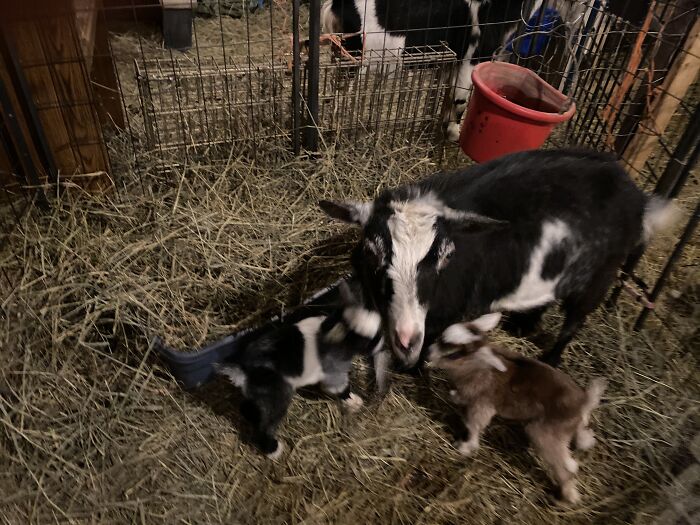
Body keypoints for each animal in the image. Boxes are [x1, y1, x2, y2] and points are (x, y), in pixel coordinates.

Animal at [215, 282, 384, 459]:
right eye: (370, 340)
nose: (383, 344)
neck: (330, 327)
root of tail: (244, 370)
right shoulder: (334, 373)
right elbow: (342, 389)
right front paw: (353, 401)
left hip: (257, 395)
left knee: (248, 408)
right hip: (276, 398)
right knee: (264, 425)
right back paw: (273, 450)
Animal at [428, 312, 606, 504]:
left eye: (453, 355)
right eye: (440, 337)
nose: (428, 353)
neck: (475, 366)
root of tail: (583, 403)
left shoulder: (483, 404)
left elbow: (474, 425)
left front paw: (465, 447)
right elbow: (460, 398)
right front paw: (454, 396)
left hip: (545, 434)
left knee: (564, 465)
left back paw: (568, 497)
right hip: (568, 429)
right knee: (578, 450)